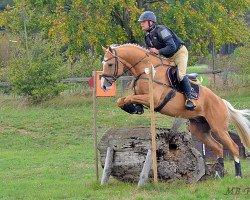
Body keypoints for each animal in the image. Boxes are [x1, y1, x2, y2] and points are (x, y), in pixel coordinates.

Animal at [100, 43, 250, 177]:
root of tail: (221, 101)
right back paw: (219, 173)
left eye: (110, 64)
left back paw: (238, 175)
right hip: (199, 130)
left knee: (233, 146)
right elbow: (122, 100)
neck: (146, 70)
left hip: (218, 128)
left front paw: (133, 107)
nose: (104, 86)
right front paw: (134, 109)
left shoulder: (152, 99)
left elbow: (128, 98)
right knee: (218, 147)